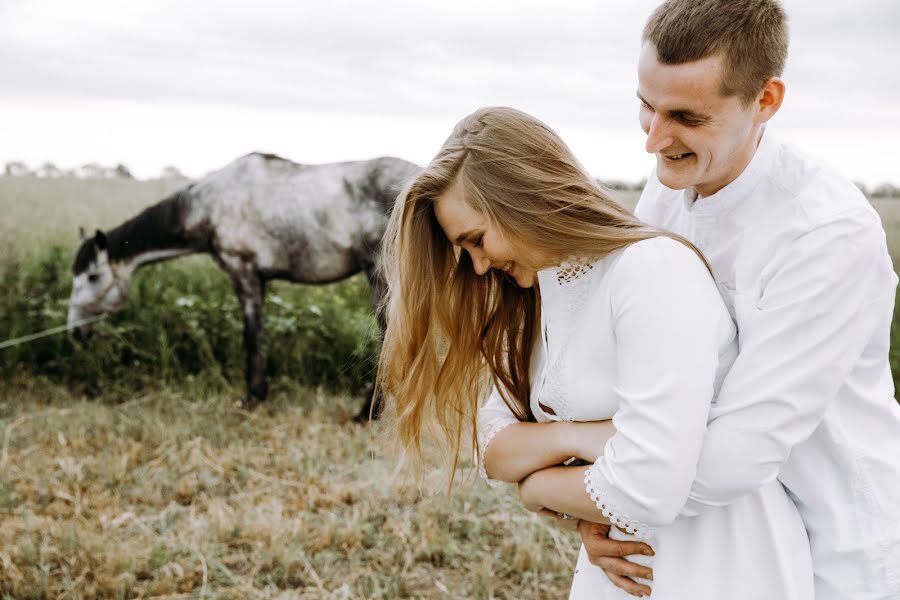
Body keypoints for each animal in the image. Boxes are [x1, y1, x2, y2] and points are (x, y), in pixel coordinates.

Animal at [67, 152, 418, 420]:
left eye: (93, 277)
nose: (75, 332)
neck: (212, 203)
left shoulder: (243, 274)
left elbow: (251, 336)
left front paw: (252, 398)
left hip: (380, 275)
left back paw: (367, 412)